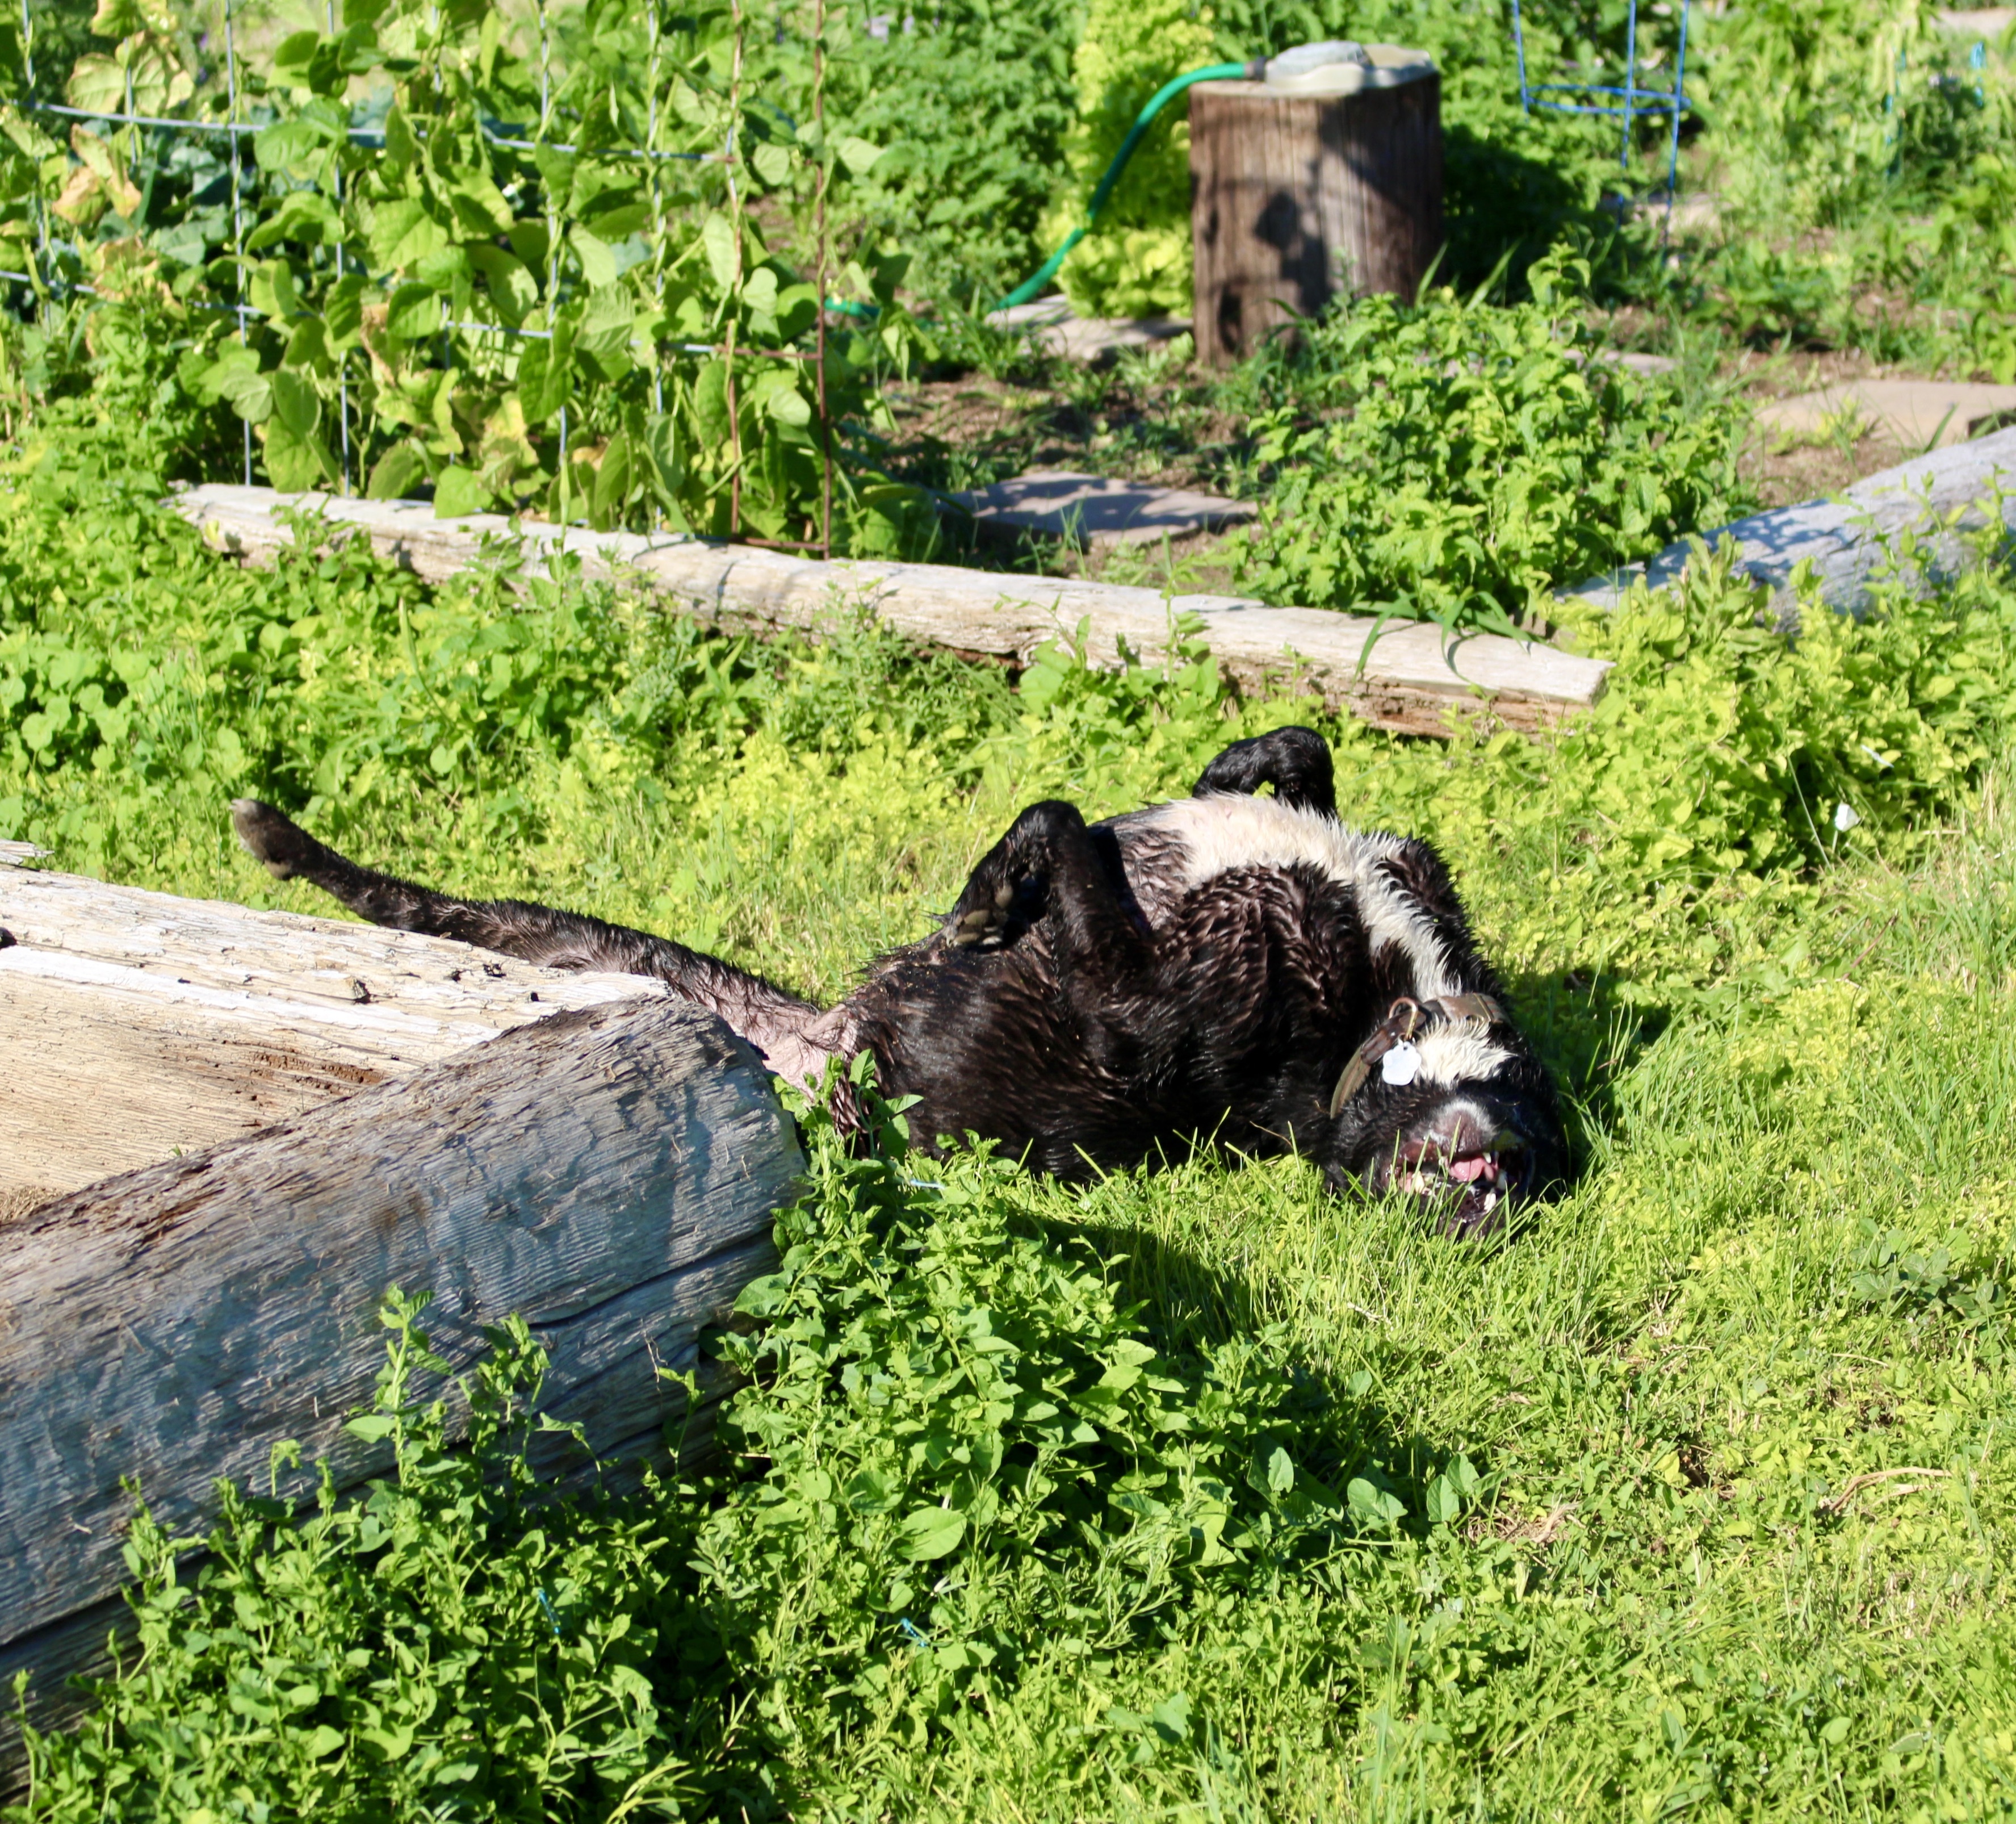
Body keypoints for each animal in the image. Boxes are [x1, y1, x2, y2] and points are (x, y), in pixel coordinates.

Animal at [232, 721, 1556, 1225]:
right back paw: (281, 837)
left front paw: (985, 897)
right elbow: (1289, 751)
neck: (1382, 987)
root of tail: (809, 1052)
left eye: (1505, 1174)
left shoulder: (1137, 1009)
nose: (1485, 1174)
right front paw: (1236, 766)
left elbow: (1056, 822)